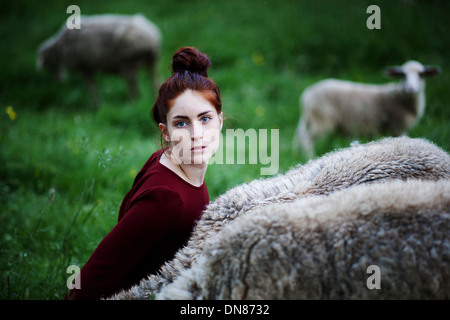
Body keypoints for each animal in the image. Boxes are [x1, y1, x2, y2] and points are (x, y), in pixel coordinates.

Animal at [292, 60, 440, 157]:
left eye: (421, 74)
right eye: (403, 75)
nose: (411, 88)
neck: (400, 97)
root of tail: (307, 94)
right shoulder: (397, 127)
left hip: (310, 120)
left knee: (299, 136)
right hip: (321, 122)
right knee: (306, 139)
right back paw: (309, 156)